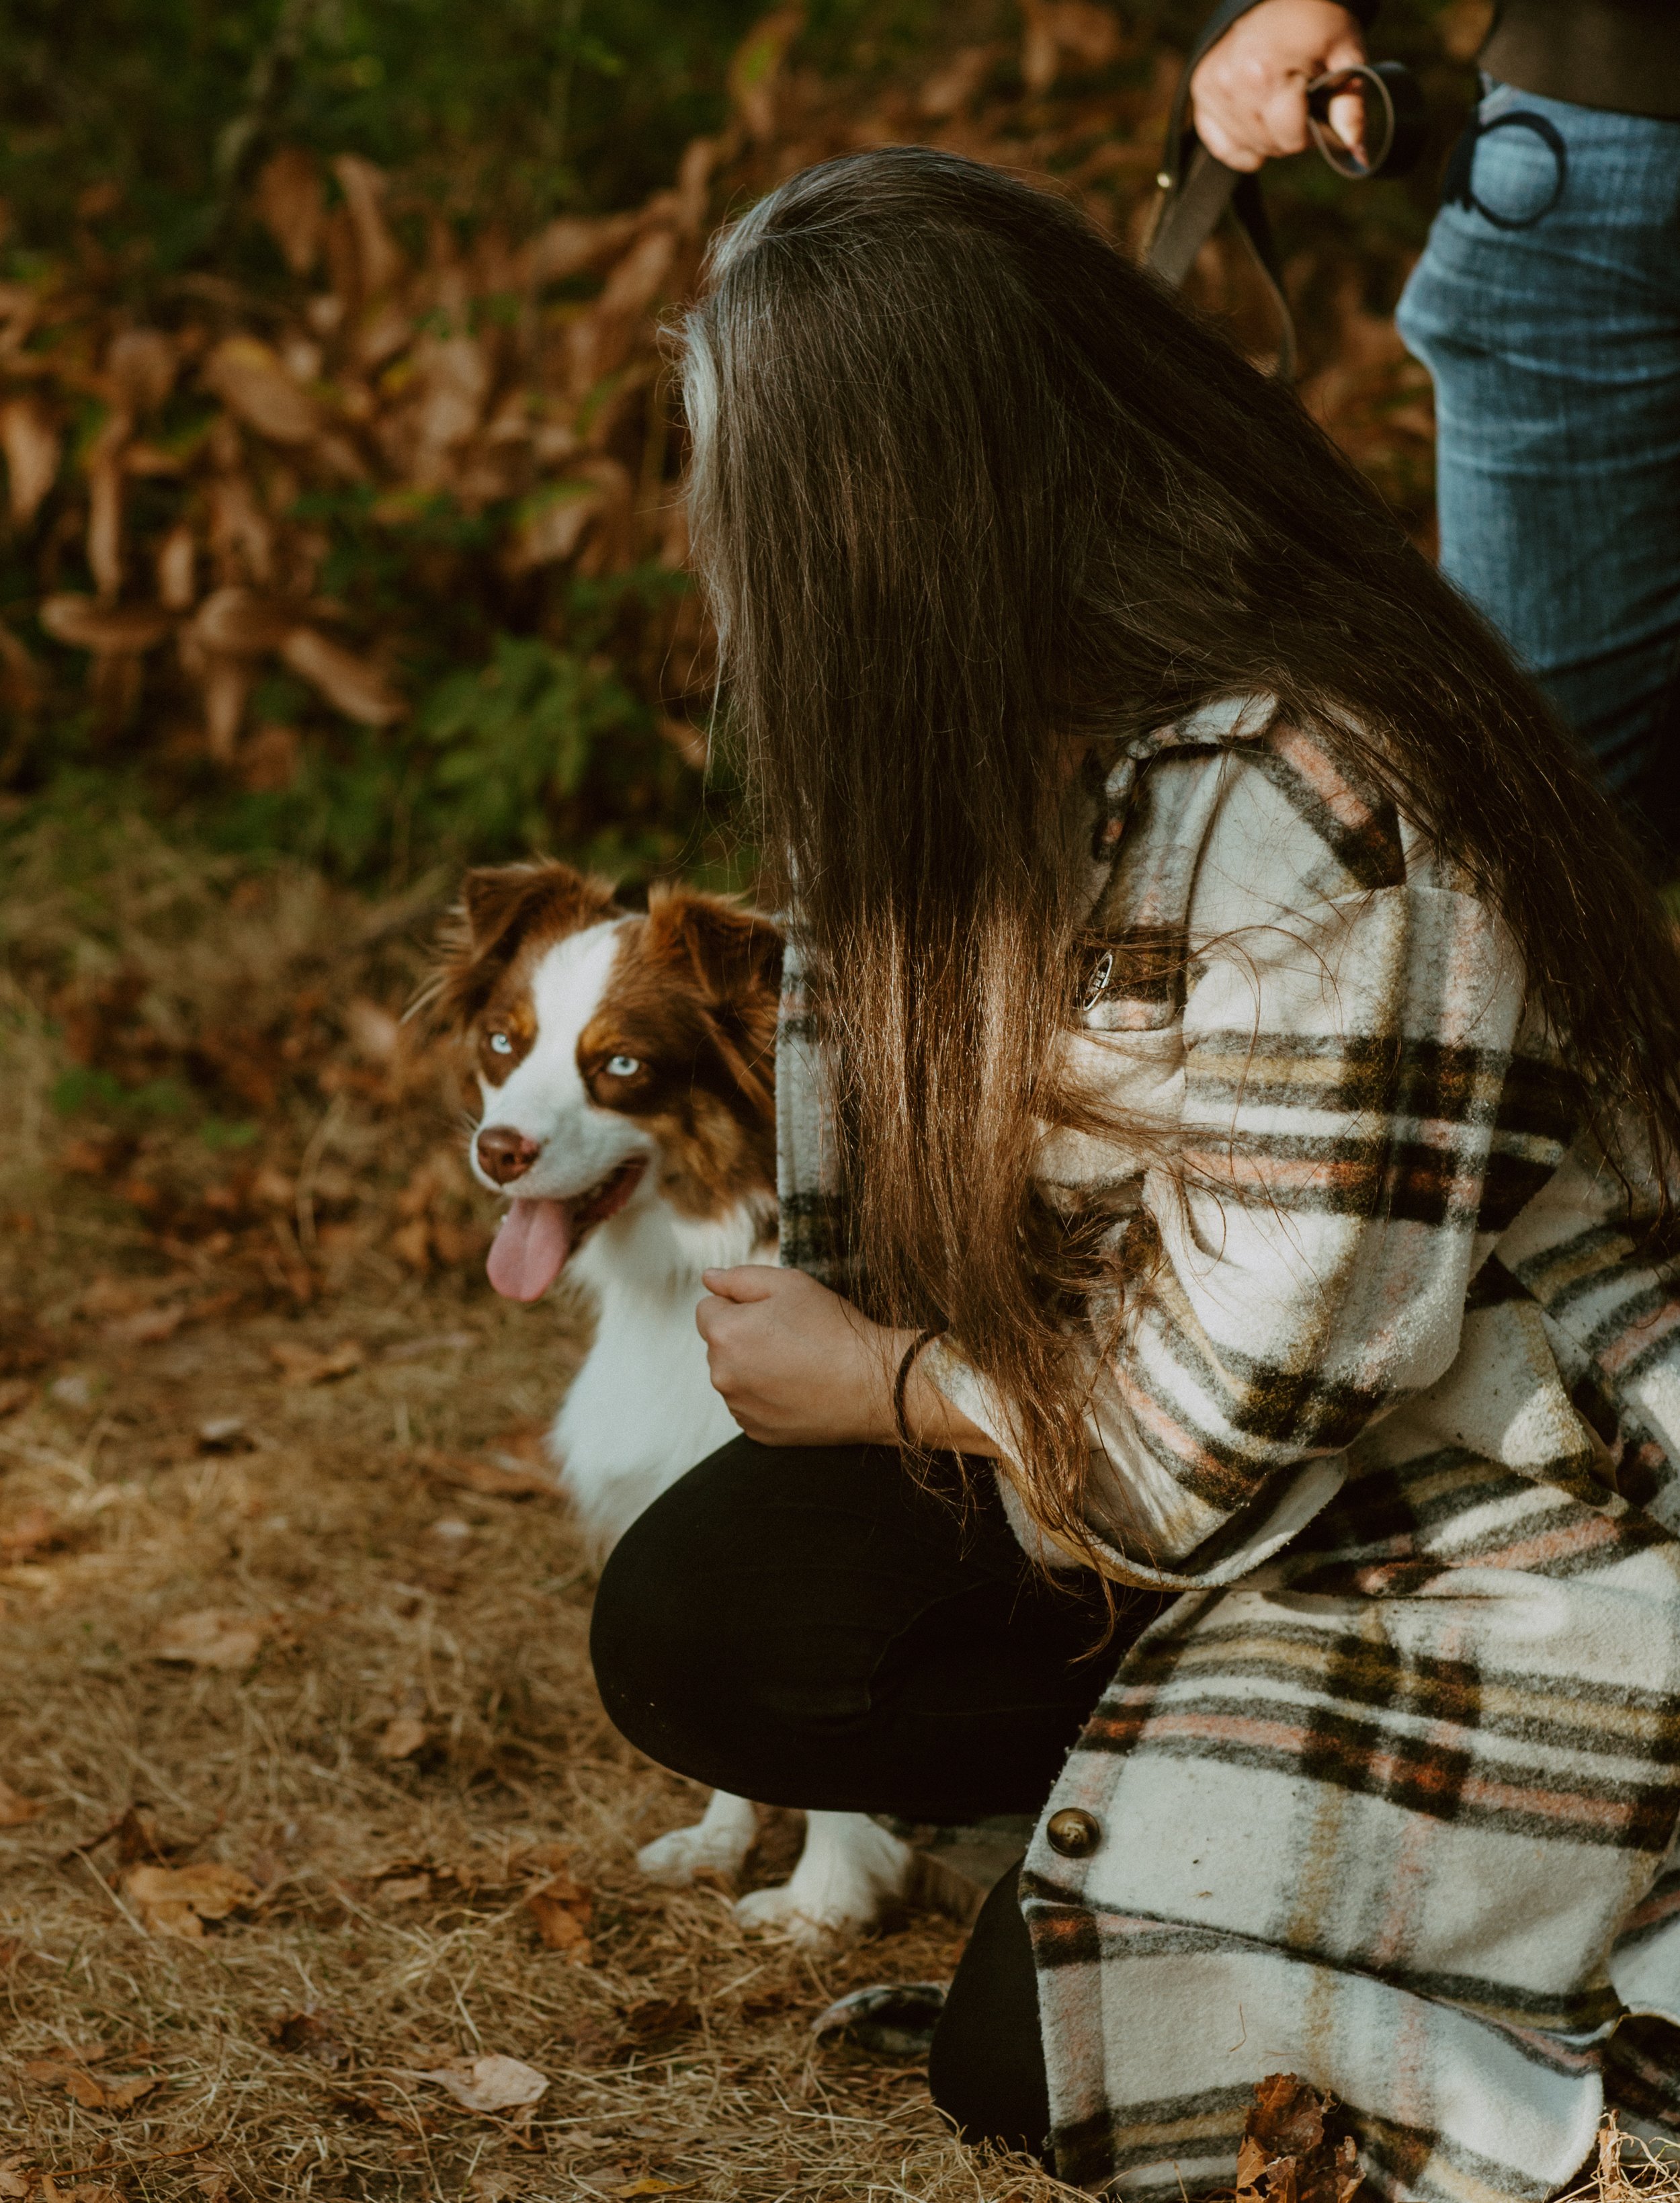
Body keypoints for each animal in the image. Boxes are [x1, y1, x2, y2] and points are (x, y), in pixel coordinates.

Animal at [427, 863, 911, 1947]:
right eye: (503, 1044)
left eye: (621, 1064)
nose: (497, 1149)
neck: (695, 1261)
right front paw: (721, 1839)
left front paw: (823, 1901)